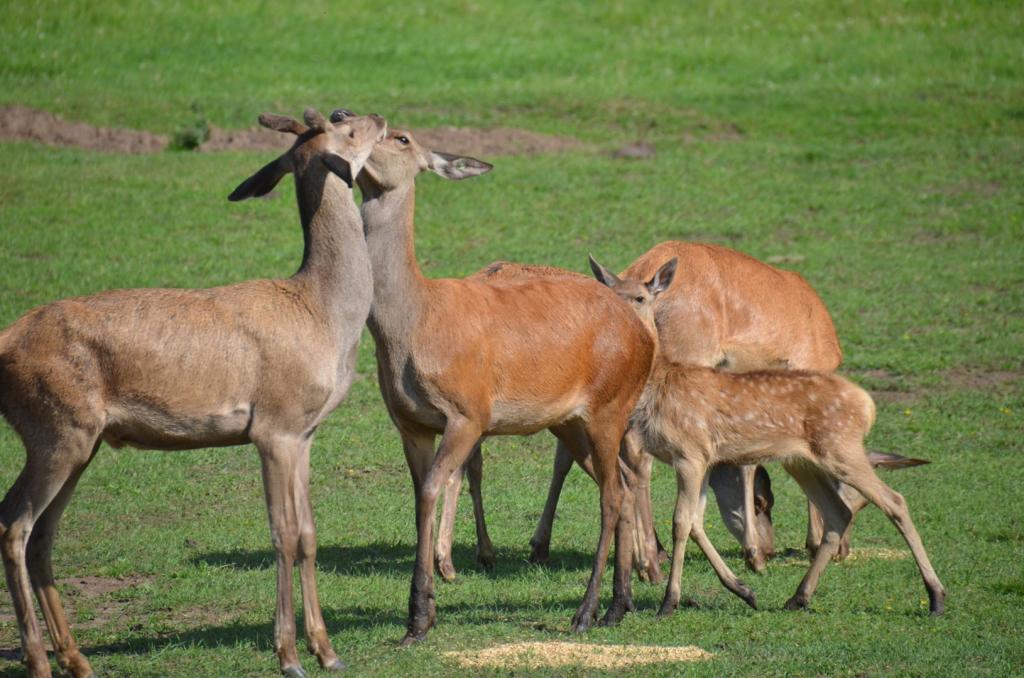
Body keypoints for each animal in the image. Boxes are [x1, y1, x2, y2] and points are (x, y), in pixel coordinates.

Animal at [0, 109, 385, 675]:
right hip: (55, 429)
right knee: (15, 526)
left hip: (77, 440)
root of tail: (4, 345)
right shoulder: (274, 425)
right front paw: (289, 654)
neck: (325, 317)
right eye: (348, 128)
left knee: (42, 533)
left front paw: (328, 651)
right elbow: (283, 534)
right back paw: (38, 660)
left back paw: (77, 658)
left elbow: (311, 534)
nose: (378, 117)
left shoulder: (305, 431)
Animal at [352, 120, 655, 643]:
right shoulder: (408, 422)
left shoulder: (468, 413)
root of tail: (645, 337)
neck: (411, 329)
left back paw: (587, 611)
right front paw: (425, 610)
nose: (339, 112)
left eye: (401, 137)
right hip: (572, 420)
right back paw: (620, 605)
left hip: (610, 405)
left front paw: (419, 616)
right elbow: (419, 495)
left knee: (613, 493)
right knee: (622, 480)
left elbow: (433, 488)